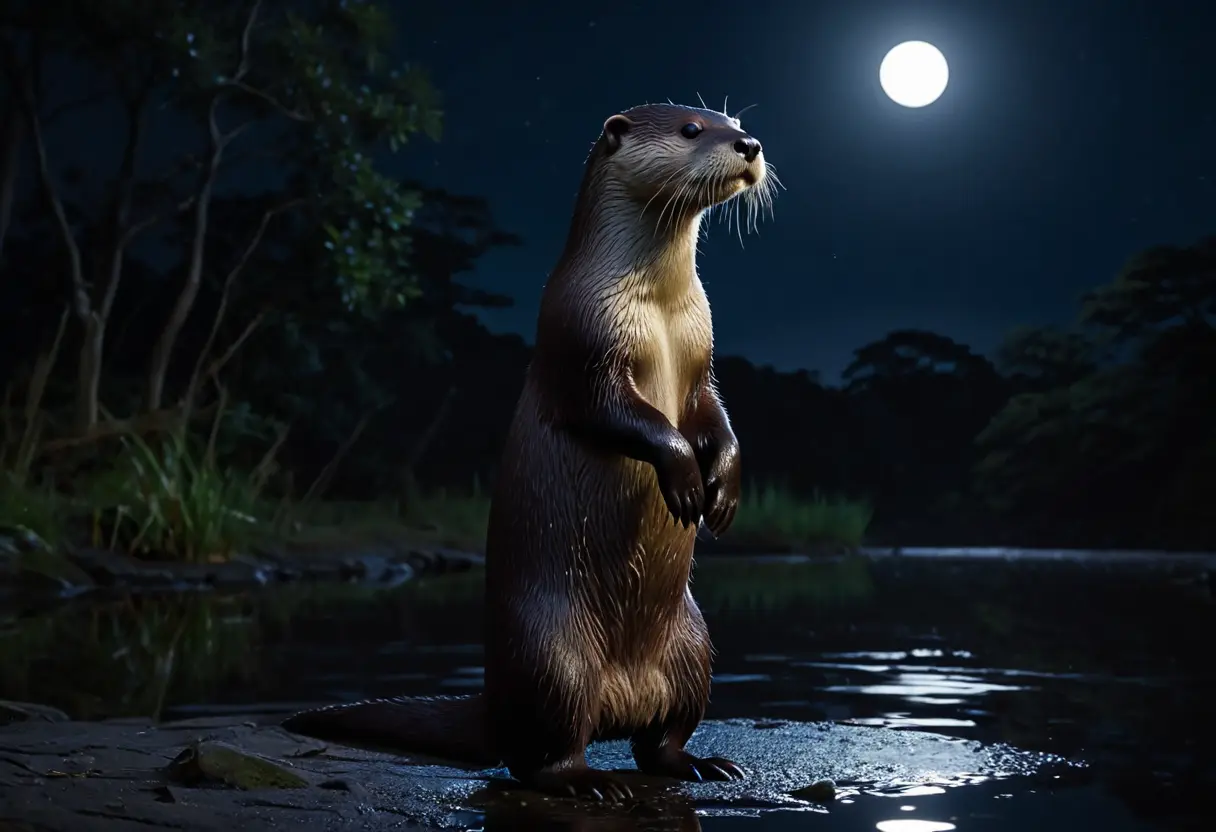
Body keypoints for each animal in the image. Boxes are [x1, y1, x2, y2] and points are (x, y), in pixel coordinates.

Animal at [282, 102, 777, 803]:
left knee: (660, 741)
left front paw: (725, 489)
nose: (750, 144)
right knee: (539, 755)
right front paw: (683, 476)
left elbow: (715, 418)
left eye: (728, 118)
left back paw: (700, 763)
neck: (658, 310)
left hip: (694, 647)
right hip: (552, 656)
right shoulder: (582, 339)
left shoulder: (703, 356)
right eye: (690, 129)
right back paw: (590, 781)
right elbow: (620, 416)